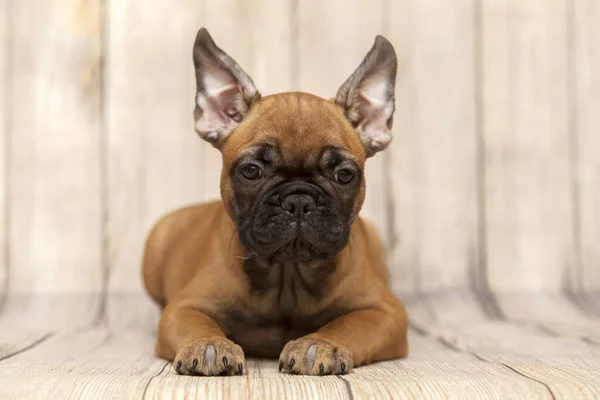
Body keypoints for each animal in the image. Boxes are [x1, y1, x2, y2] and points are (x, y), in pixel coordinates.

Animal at [143, 27, 410, 376]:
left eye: (344, 175)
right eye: (251, 171)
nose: (298, 200)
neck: (288, 272)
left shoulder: (385, 312)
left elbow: (349, 325)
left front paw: (319, 344)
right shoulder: (185, 306)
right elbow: (196, 323)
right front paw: (209, 344)